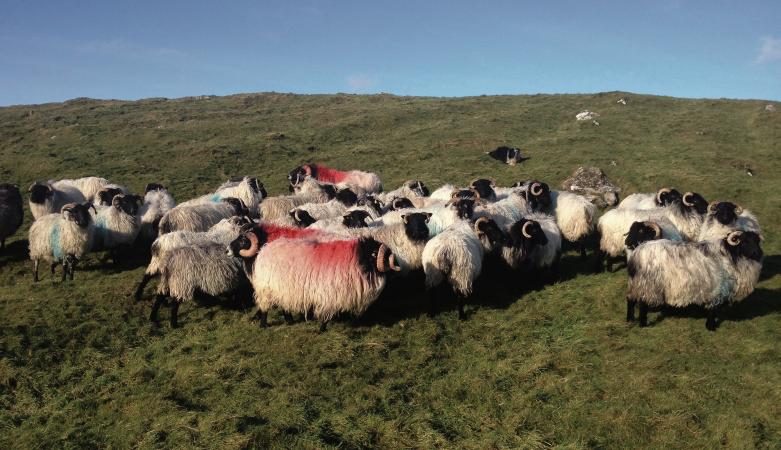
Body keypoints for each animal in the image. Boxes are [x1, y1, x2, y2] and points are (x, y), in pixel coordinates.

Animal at [229, 230, 400, 328]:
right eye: (374, 253)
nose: (396, 263)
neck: (358, 260)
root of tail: (265, 250)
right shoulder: (329, 293)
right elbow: (325, 313)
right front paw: (322, 328)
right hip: (267, 287)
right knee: (265, 305)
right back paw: (264, 325)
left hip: (282, 287)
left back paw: (289, 321)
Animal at [624, 232, 764, 330]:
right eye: (744, 241)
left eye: (757, 241)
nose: (757, 253)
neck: (731, 255)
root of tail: (636, 253)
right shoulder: (717, 288)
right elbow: (713, 309)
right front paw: (711, 327)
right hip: (647, 285)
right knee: (642, 304)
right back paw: (643, 324)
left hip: (636, 283)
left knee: (630, 299)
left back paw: (630, 319)